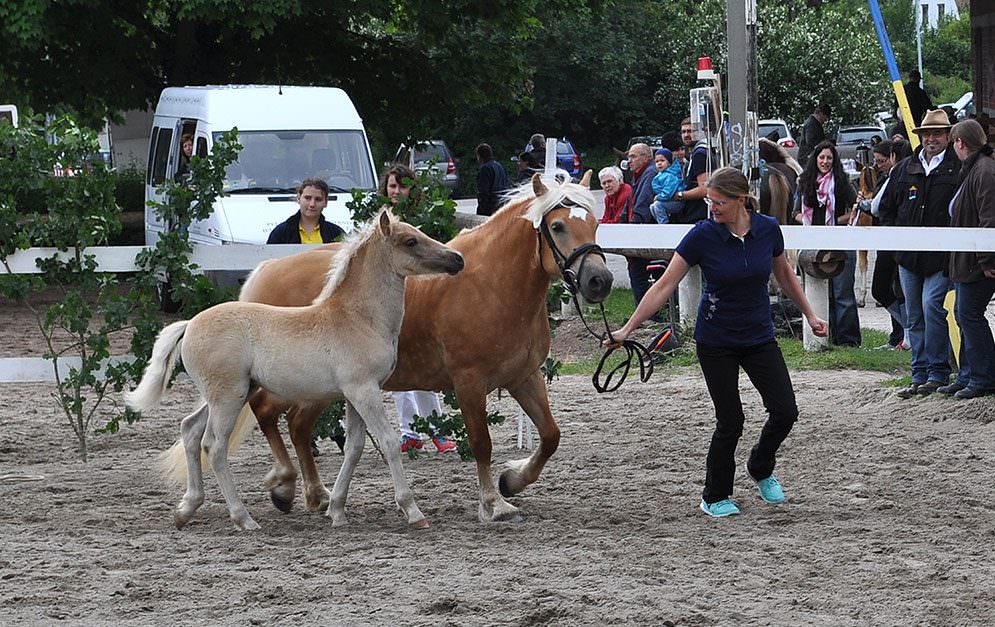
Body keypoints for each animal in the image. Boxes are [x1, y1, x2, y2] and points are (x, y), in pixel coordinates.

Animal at [126, 212, 464, 528]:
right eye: (410, 241)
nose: (457, 259)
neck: (359, 318)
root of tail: (190, 324)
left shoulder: (355, 393)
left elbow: (354, 447)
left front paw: (337, 510)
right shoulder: (363, 390)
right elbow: (389, 442)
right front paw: (412, 511)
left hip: (229, 394)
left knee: (190, 430)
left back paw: (187, 509)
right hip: (228, 397)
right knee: (215, 446)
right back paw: (244, 518)